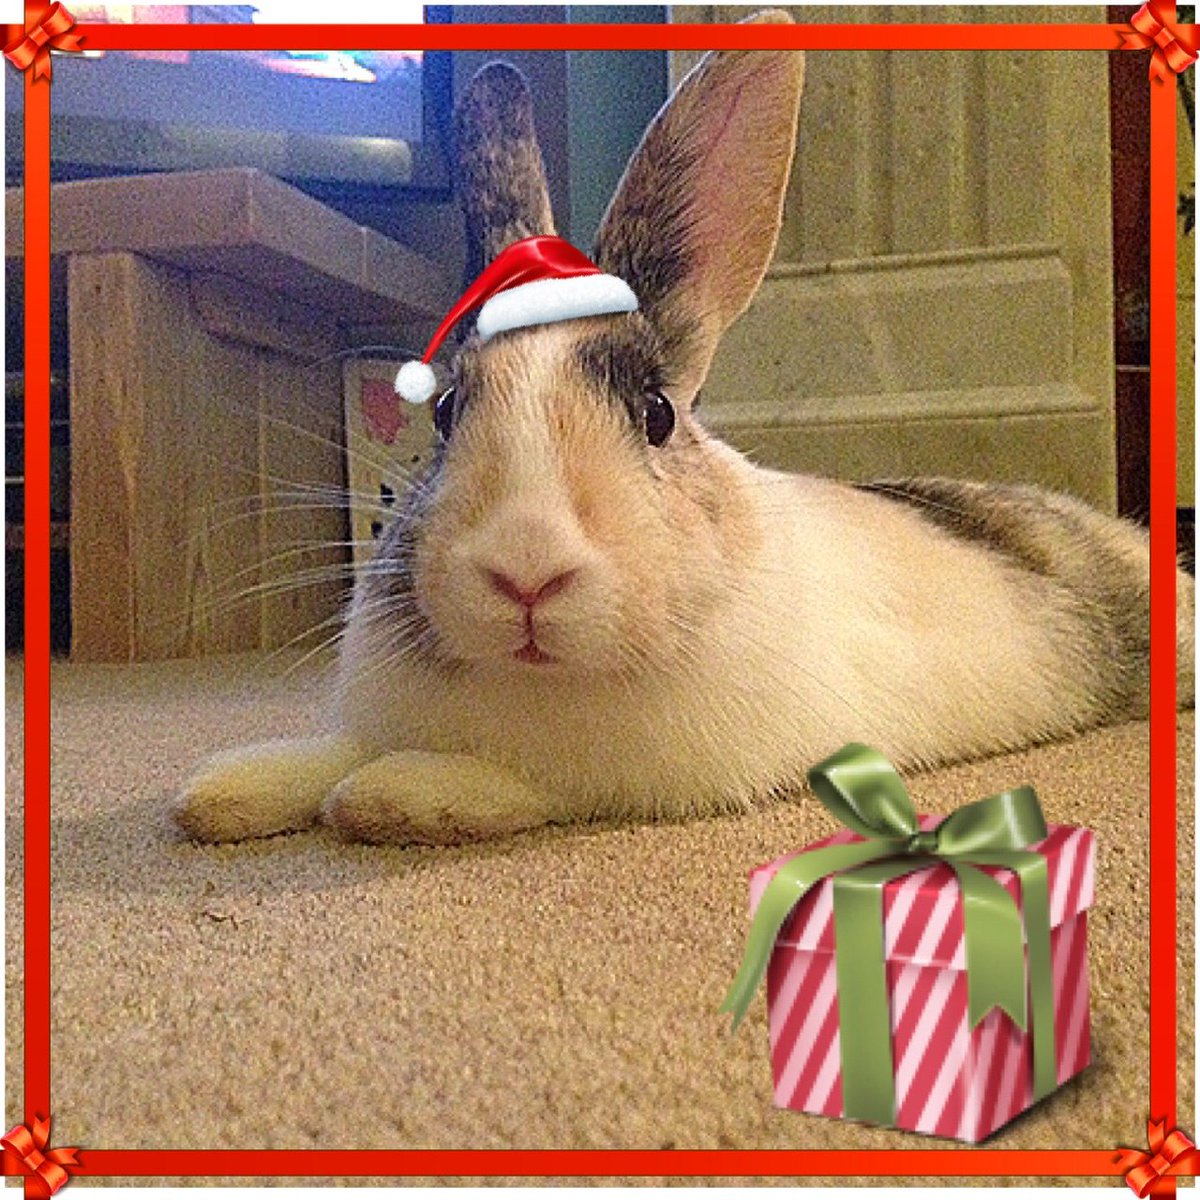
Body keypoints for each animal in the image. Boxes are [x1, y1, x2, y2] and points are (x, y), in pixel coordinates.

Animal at [175, 10, 1195, 847]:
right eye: (451, 408)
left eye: (657, 415)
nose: (525, 571)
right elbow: (326, 753)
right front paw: (224, 789)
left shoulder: (631, 774)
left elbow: (516, 783)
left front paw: (395, 796)